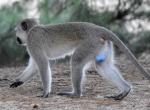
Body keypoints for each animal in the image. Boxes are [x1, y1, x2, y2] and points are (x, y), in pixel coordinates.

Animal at [10, 18, 150, 100]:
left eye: (17, 30)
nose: (17, 38)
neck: (32, 30)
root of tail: (98, 29)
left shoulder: (33, 41)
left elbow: (42, 64)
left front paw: (45, 93)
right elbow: (35, 66)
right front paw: (18, 81)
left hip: (90, 44)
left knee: (76, 62)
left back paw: (76, 93)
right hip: (100, 45)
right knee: (102, 66)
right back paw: (125, 90)